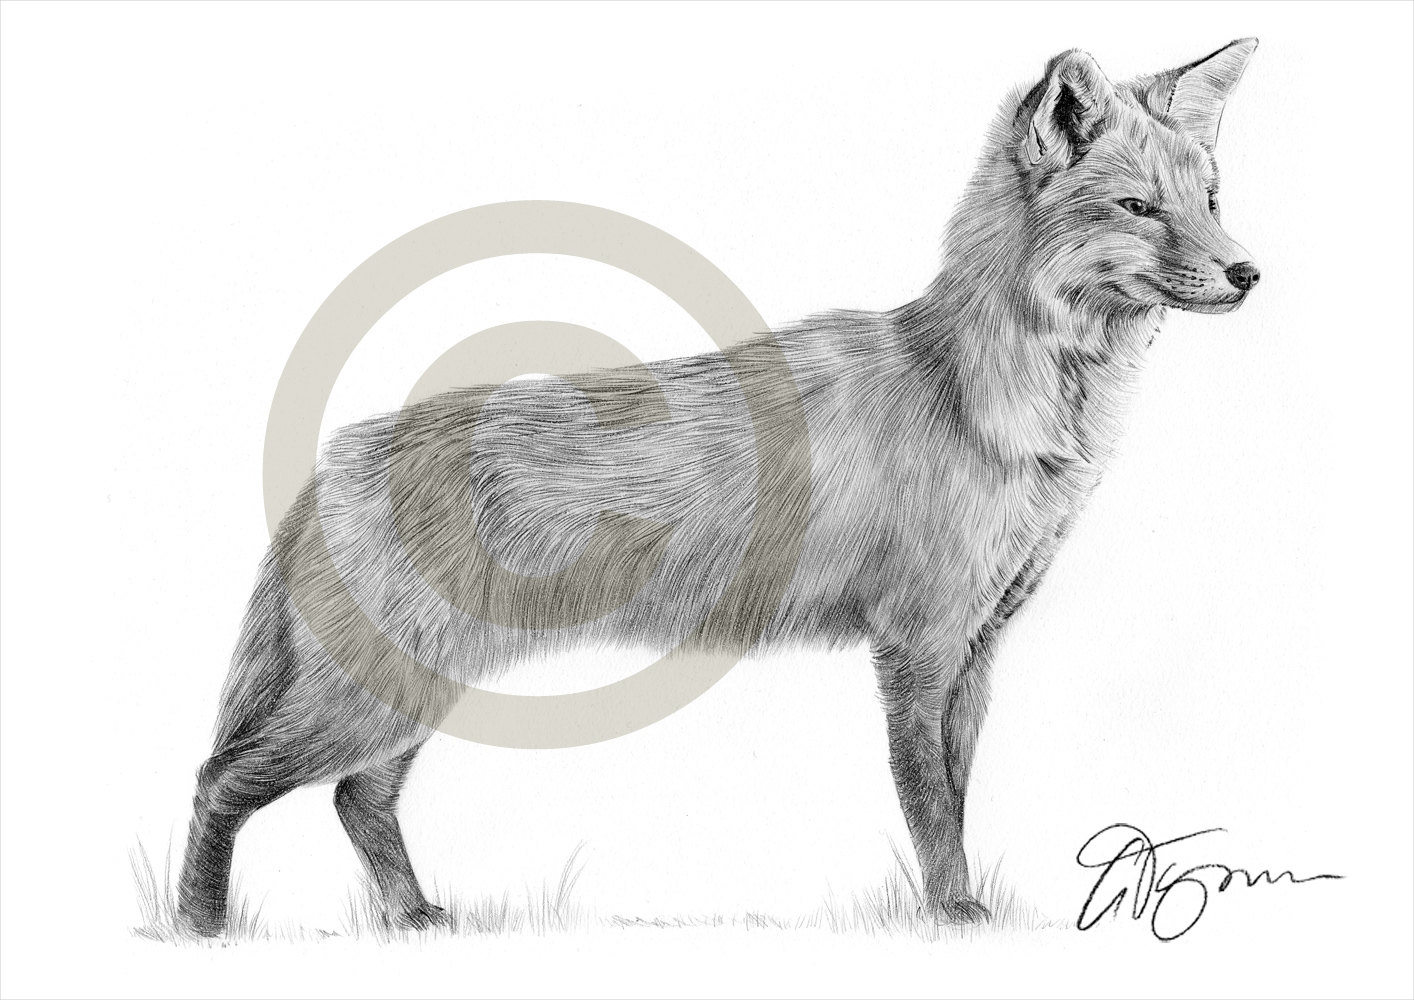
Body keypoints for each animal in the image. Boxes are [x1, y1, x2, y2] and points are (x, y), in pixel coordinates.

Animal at [178, 38, 1261, 936]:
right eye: (1138, 208)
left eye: (1210, 199)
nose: (1249, 272)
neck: (986, 401)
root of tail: (337, 454)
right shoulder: (915, 646)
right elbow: (930, 808)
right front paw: (953, 917)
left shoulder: (977, 649)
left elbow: (956, 796)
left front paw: (958, 909)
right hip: (373, 694)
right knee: (219, 780)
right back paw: (198, 929)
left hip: (410, 692)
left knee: (355, 799)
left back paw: (410, 918)